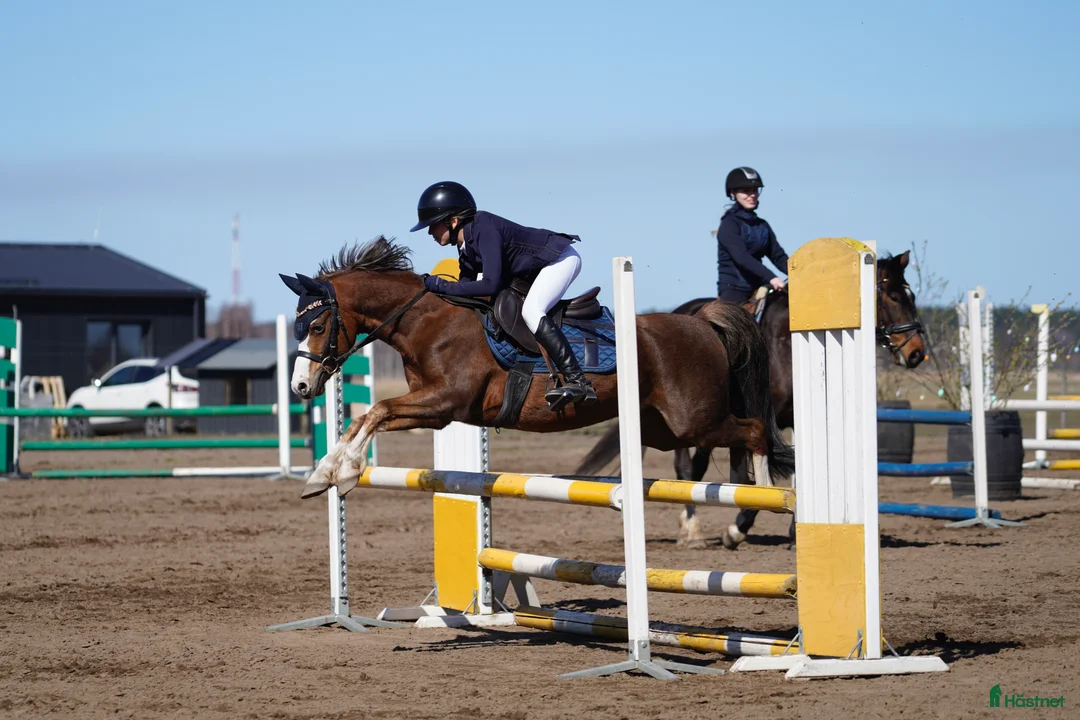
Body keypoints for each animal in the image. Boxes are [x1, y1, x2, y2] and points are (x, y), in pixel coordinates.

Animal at [280, 236, 795, 499]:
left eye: (319, 325)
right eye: (298, 326)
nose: (302, 386)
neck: (426, 321)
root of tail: (702, 321)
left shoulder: (446, 402)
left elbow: (377, 411)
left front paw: (341, 471)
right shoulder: (437, 410)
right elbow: (368, 418)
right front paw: (324, 473)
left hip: (693, 419)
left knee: (754, 430)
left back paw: (772, 497)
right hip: (665, 428)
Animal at [573, 251, 927, 549]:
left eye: (911, 296)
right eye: (895, 296)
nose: (916, 352)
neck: (785, 344)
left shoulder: (792, 420)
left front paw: (794, 530)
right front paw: (736, 529)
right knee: (688, 468)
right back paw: (692, 531)